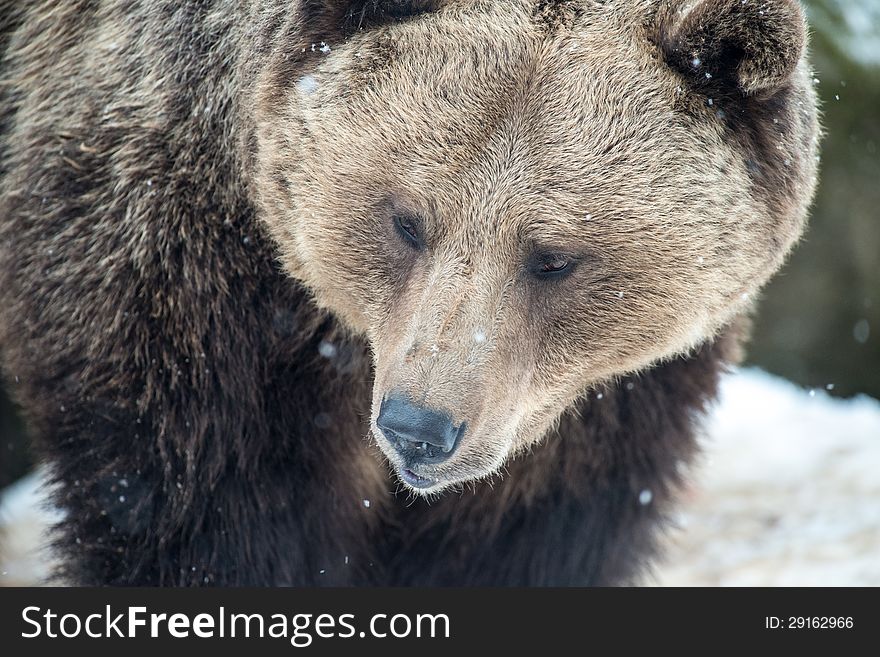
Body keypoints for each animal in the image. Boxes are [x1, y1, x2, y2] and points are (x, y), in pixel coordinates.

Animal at [0, 0, 820, 584]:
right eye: (407, 221)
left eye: (552, 257)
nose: (419, 428)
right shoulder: (173, 254)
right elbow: (202, 497)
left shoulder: (585, 403)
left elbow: (536, 525)